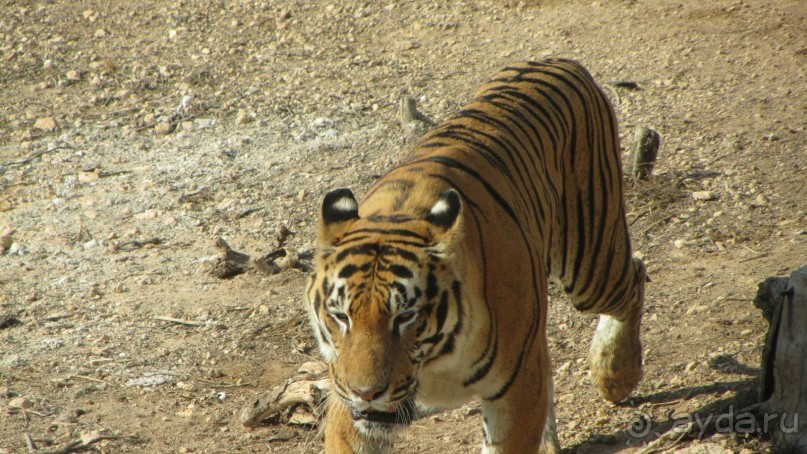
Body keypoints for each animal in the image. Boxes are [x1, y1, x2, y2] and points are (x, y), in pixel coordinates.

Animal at [306, 57, 648, 454]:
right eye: (341, 316)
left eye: (405, 317)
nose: (367, 393)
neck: (433, 365)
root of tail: (559, 60)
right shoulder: (345, 398)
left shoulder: (516, 388)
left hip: (591, 264)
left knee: (635, 276)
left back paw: (615, 374)